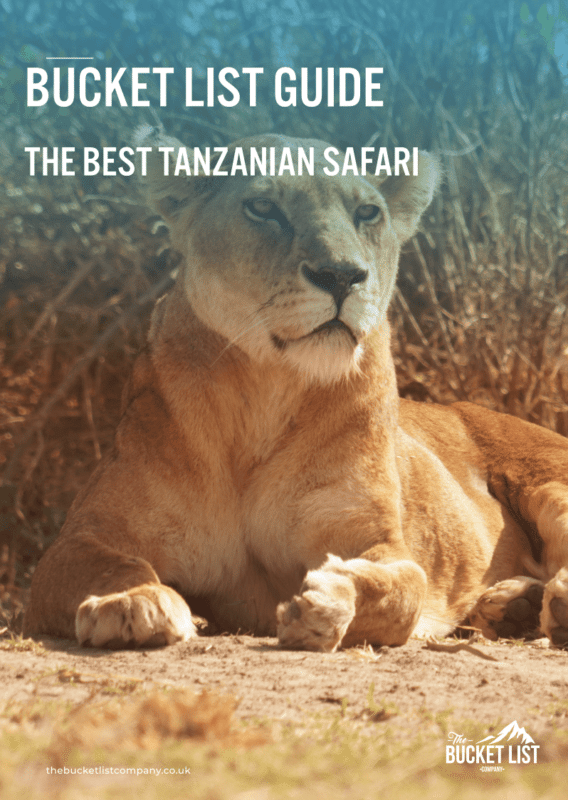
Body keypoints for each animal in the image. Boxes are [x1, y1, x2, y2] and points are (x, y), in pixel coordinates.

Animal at [23, 132, 568, 652]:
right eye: (264, 207)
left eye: (367, 212)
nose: (341, 275)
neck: (267, 392)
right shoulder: (83, 538)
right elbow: (112, 565)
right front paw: (131, 602)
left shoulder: (372, 536)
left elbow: (404, 587)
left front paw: (330, 602)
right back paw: (515, 605)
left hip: (546, 483)